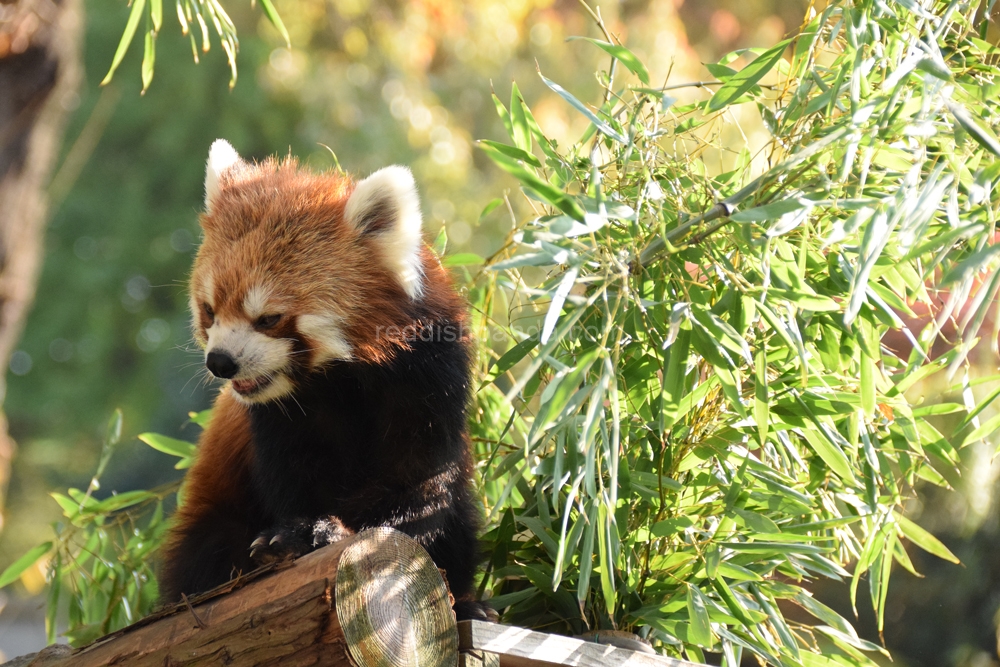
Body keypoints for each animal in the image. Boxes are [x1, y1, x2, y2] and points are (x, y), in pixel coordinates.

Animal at [158, 140, 490, 620]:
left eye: (270, 318)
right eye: (209, 310)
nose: (221, 362)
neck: (341, 377)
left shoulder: (428, 372)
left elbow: (415, 481)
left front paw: (327, 531)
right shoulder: (280, 419)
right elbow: (296, 477)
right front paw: (296, 534)